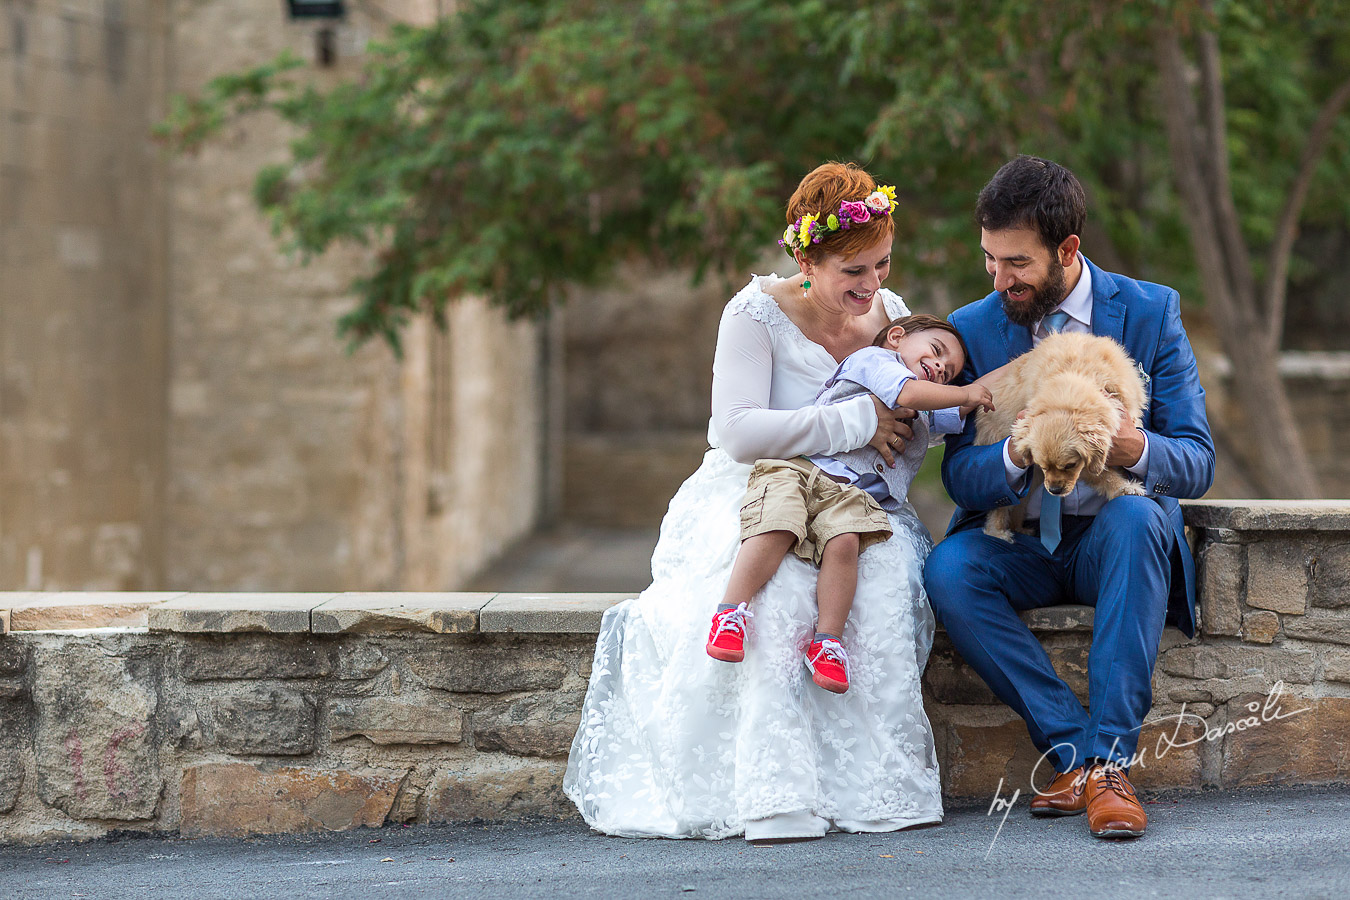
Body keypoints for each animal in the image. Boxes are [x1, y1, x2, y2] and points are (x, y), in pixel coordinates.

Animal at [977, 333, 1144, 539]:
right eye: (1042, 465)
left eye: (1069, 465)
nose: (1055, 490)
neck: (1076, 374)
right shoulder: (1085, 466)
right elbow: (1104, 476)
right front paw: (1125, 487)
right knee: (1001, 504)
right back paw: (998, 533)